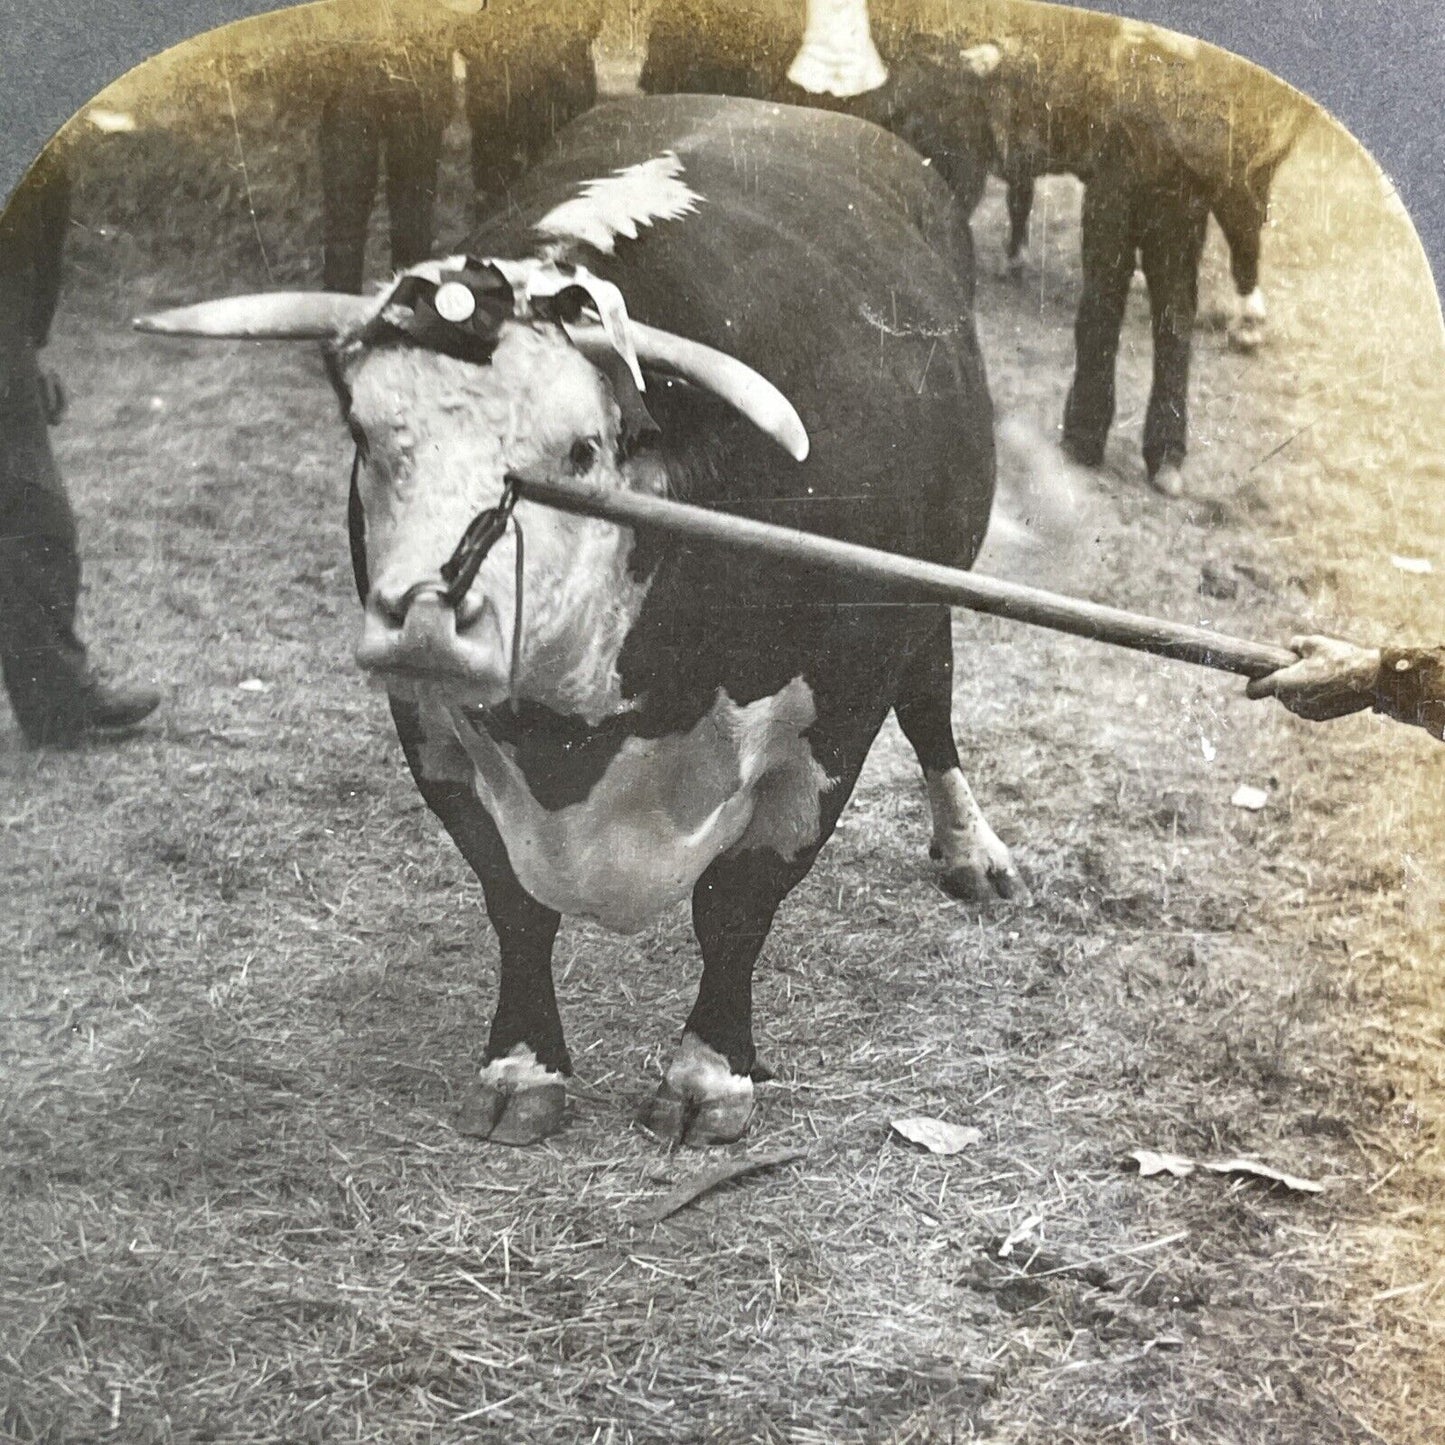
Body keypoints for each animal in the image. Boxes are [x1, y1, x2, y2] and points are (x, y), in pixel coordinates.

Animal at [137, 96, 1017, 1144]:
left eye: (581, 450)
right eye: (364, 434)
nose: (425, 621)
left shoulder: (837, 710)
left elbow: (738, 903)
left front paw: (708, 1073)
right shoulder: (429, 723)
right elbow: (513, 901)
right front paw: (523, 1065)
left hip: (929, 602)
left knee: (933, 701)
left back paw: (972, 850)